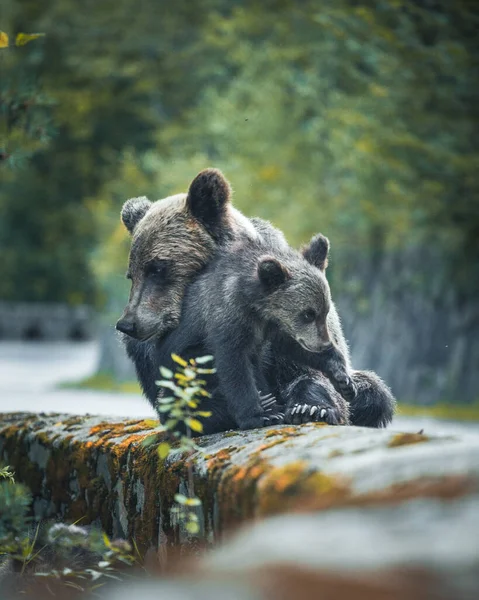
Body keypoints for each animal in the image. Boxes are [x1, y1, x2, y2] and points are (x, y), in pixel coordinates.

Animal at [118, 166, 396, 434]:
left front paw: (311, 408)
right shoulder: (154, 354)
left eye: (158, 268)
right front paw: (254, 406)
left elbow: (309, 371)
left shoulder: (293, 323)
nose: (128, 324)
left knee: (374, 392)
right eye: (132, 274)